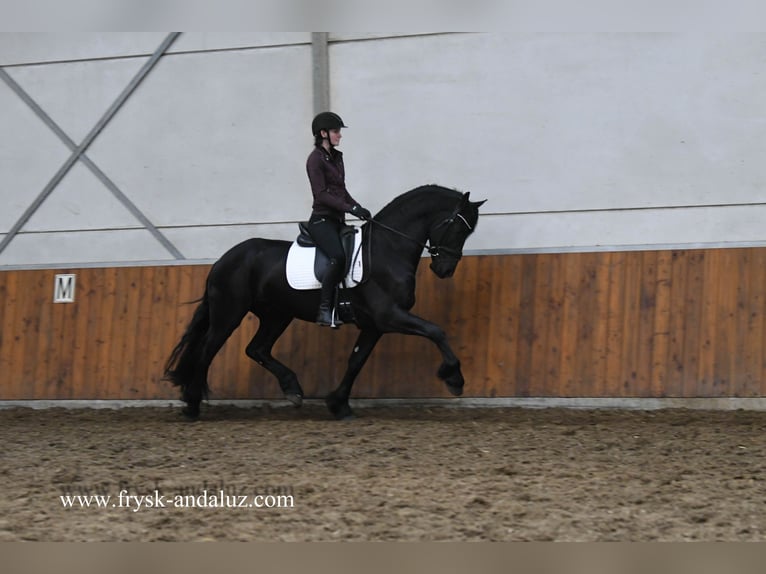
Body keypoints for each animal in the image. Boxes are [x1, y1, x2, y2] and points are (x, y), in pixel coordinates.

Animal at [164, 187, 486, 420]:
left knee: (256, 349)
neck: (386, 250)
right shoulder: (390, 315)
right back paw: (192, 405)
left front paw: (338, 404)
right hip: (229, 314)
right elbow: (436, 331)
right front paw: (455, 378)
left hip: (276, 315)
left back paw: (292, 389)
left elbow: (356, 361)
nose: (444, 270)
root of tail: (224, 259)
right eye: (458, 229)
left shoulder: (374, 325)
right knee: (208, 350)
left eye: (468, 232)